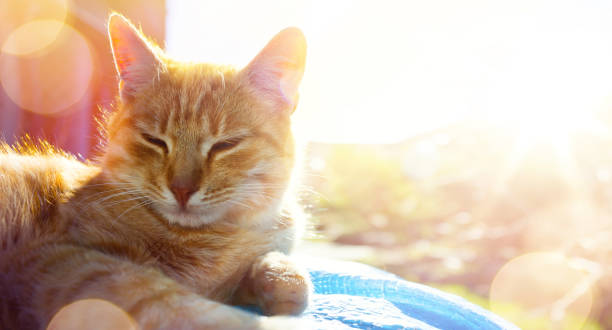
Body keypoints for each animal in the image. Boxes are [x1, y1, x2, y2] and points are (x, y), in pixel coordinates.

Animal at [1, 13, 310, 330]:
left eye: (225, 144)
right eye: (155, 140)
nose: (182, 189)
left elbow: (279, 269)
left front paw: (281, 278)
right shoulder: (64, 258)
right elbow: (171, 301)